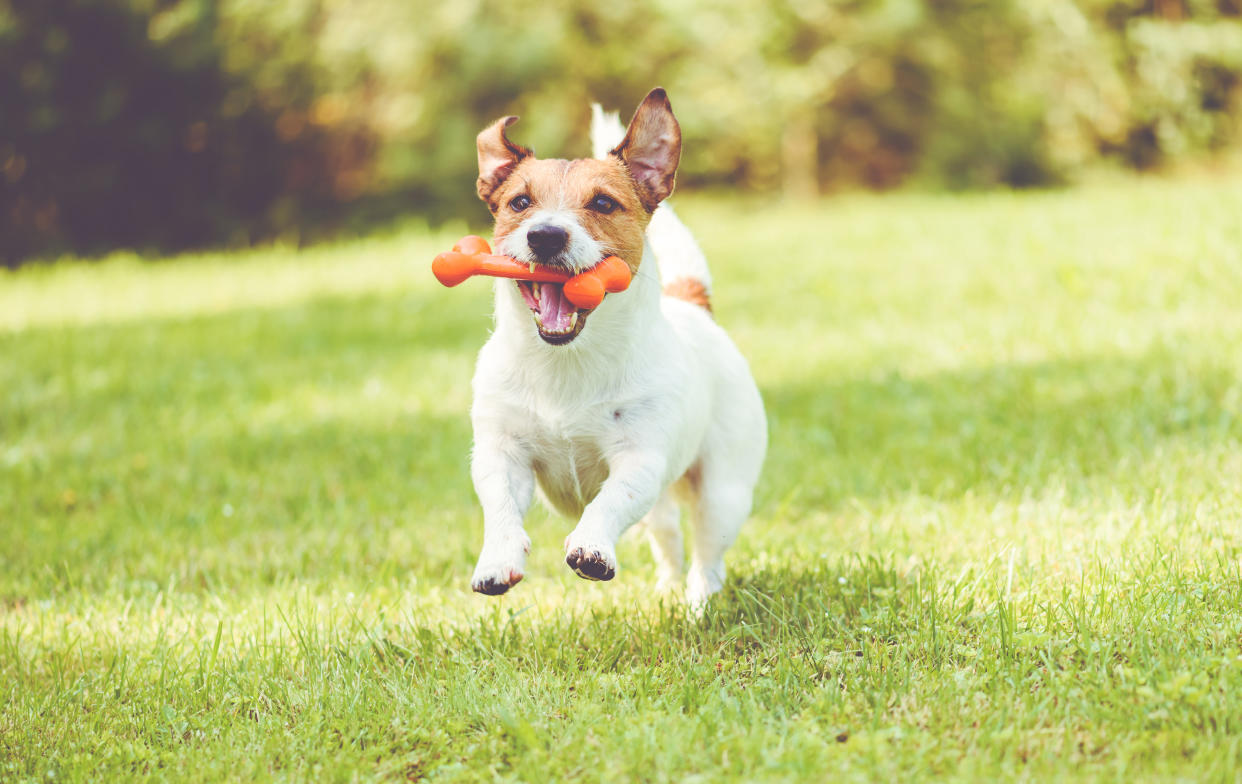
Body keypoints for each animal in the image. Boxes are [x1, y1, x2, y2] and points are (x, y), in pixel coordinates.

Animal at [466, 90, 760, 606]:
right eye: (520, 202)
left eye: (603, 202)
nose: (545, 235)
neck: (566, 362)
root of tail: (694, 306)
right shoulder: (501, 452)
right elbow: (499, 505)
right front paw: (497, 560)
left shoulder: (639, 459)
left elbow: (608, 502)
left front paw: (592, 548)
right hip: (664, 507)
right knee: (669, 540)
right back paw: (666, 591)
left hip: (723, 492)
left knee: (708, 558)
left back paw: (697, 605)